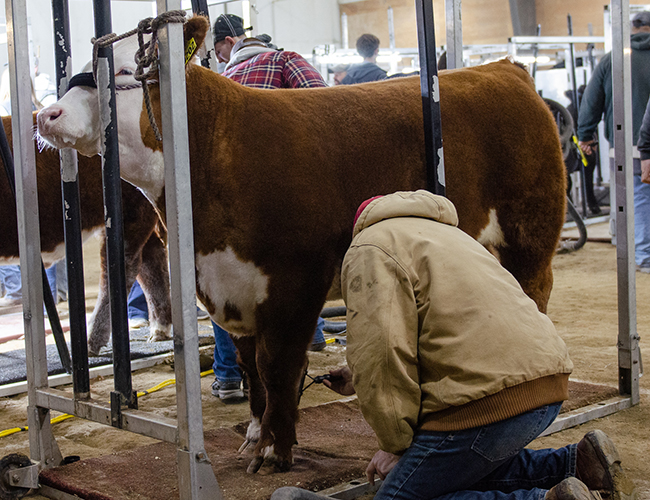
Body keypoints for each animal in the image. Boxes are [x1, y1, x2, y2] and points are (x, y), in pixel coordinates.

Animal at [37, 16, 566, 473]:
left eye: (124, 72)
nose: (47, 114)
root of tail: (502, 70)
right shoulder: (227, 286)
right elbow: (251, 368)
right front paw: (255, 434)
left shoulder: (294, 281)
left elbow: (278, 367)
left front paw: (275, 449)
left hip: (530, 231)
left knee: (535, 292)